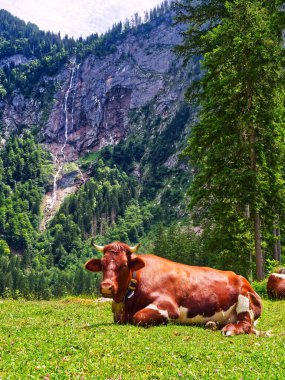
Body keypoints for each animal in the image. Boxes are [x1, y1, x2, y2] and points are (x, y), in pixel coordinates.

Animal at [85, 242, 262, 336]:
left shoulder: (168, 305)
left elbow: (139, 317)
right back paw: (212, 324)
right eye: (102, 264)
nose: (106, 287)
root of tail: (240, 277)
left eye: (123, 265)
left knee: (245, 325)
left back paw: (230, 330)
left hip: (244, 300)